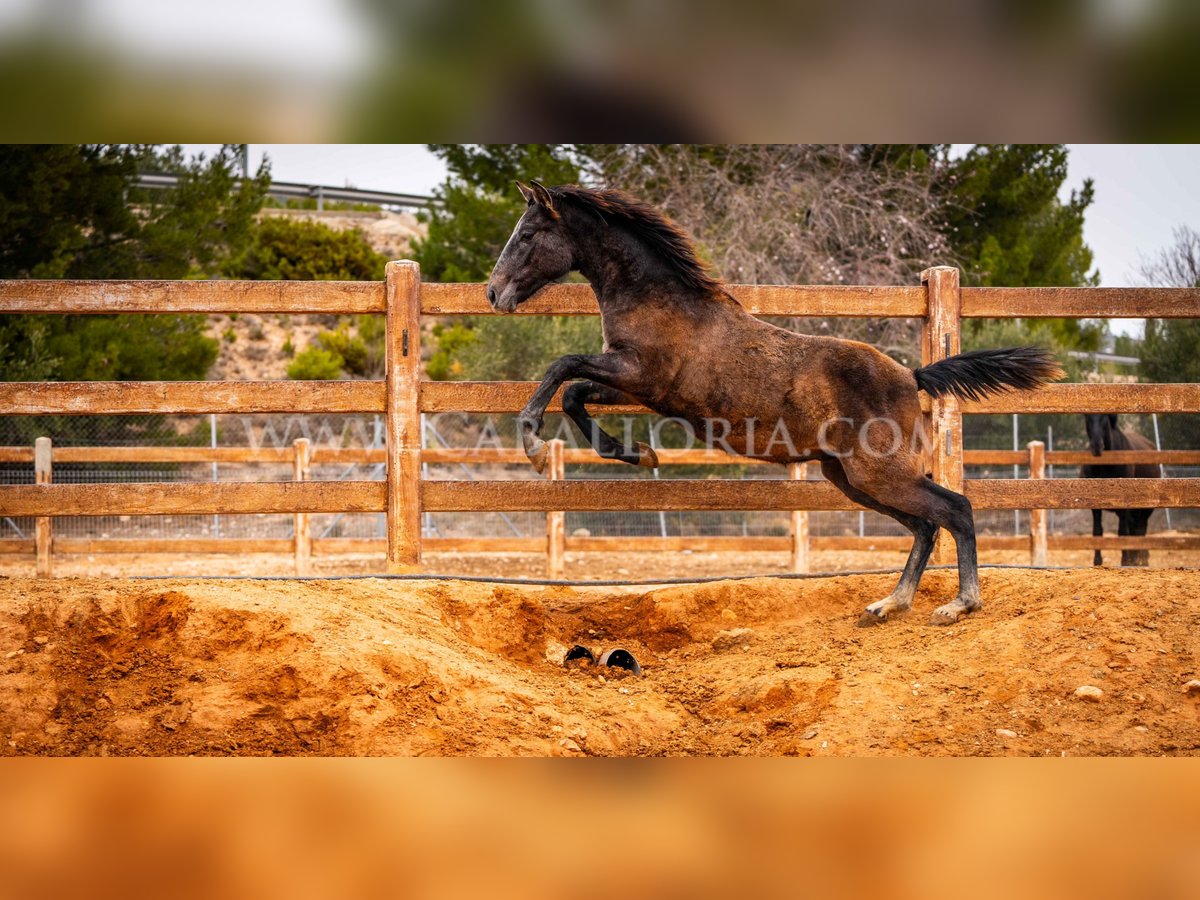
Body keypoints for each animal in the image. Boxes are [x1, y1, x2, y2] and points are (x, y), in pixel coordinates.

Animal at [484, 180, 1060, 624]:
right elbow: (574, 392)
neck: (659, 300)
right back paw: (889, 604)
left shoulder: (639, 374)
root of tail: (911, 375)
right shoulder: (633, 384)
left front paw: (534, 444)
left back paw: (960, 604)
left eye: (528, 234)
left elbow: (563, 367)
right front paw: (637, 454)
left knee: (954, 509)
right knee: (924, 525)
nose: (493, 294)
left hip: (880, 474)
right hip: (851, 479)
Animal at [1084, 415, 1156, 566]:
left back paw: (1141, 559)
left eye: (1104, 417)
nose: (1097, 447)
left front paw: (1125, 561)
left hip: (1146, 509)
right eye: (1087, 416)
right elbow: (1097, 530)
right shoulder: (1095, 506)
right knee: (1134, 528)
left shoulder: (1124, 507)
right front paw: (1097, 561)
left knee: (1140, 529)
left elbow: (1122, 532)